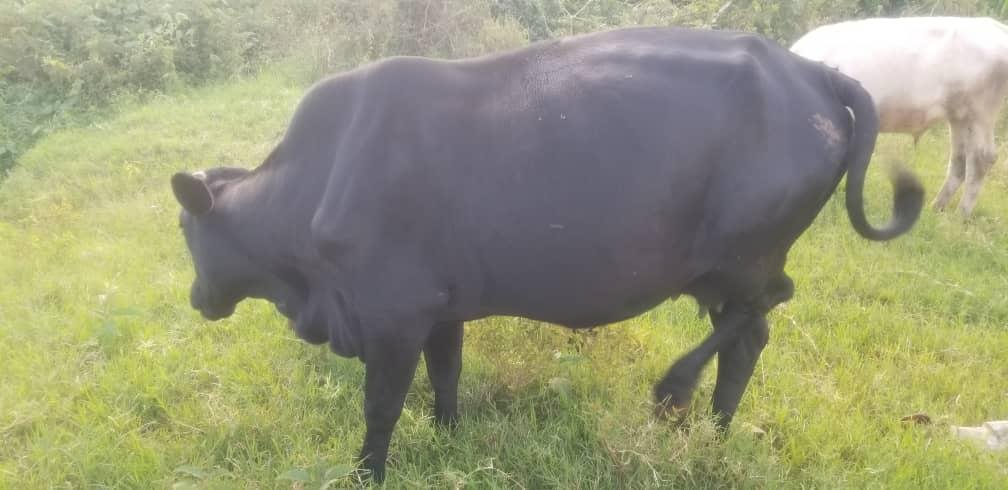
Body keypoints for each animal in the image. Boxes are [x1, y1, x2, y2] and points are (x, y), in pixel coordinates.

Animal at [171, 27, 923, 482]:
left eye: (186, 230)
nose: (196, 298)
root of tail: (814, 73)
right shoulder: (443, 304)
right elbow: (446, 376)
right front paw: (449, 437)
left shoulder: (393, 314)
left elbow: (381, 407)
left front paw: (367, 473)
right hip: (724, 271)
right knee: (749, 338)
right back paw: (711, 431)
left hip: (745, 254)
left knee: (767, 303)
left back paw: (676, 390)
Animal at [791, 16, 1008, 217]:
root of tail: (993, 25)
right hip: (960, 116)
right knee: (960, 159)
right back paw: (936, 208)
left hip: (982, 110)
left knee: (982, 158)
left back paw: (961, 215)